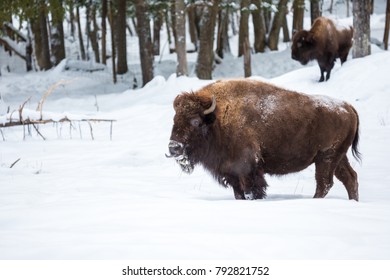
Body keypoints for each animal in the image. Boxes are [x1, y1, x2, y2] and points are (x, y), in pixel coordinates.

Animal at [166, 79, 362, 201]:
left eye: (196, 122)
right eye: (174, 120)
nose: (174, 147)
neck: (218, 118)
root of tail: (348, 107)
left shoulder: (248, 170)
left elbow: (251, 191)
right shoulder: (232, 173)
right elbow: (239, 194)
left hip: (326, 157)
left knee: (324, 183)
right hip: (338, 157)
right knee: (350, 178)